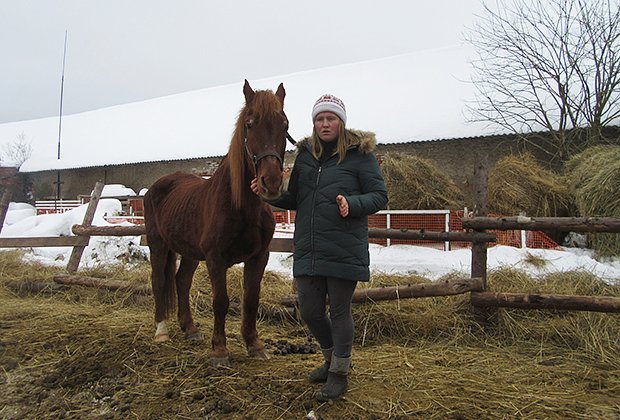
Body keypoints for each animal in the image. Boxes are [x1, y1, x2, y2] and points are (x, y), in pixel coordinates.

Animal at [144, 79, 290, 368]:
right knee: (159, 281)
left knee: (181, 281)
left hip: (189, 252)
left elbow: (251, 299)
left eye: (285, 124)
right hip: (158, 245)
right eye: (250, 123)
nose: (271, 183)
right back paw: (161, 331)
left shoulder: (259, 256)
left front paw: (254, 345)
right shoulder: (215, 258)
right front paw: (220, 351)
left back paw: (190, 329)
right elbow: (220, 301)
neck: (240, 205)